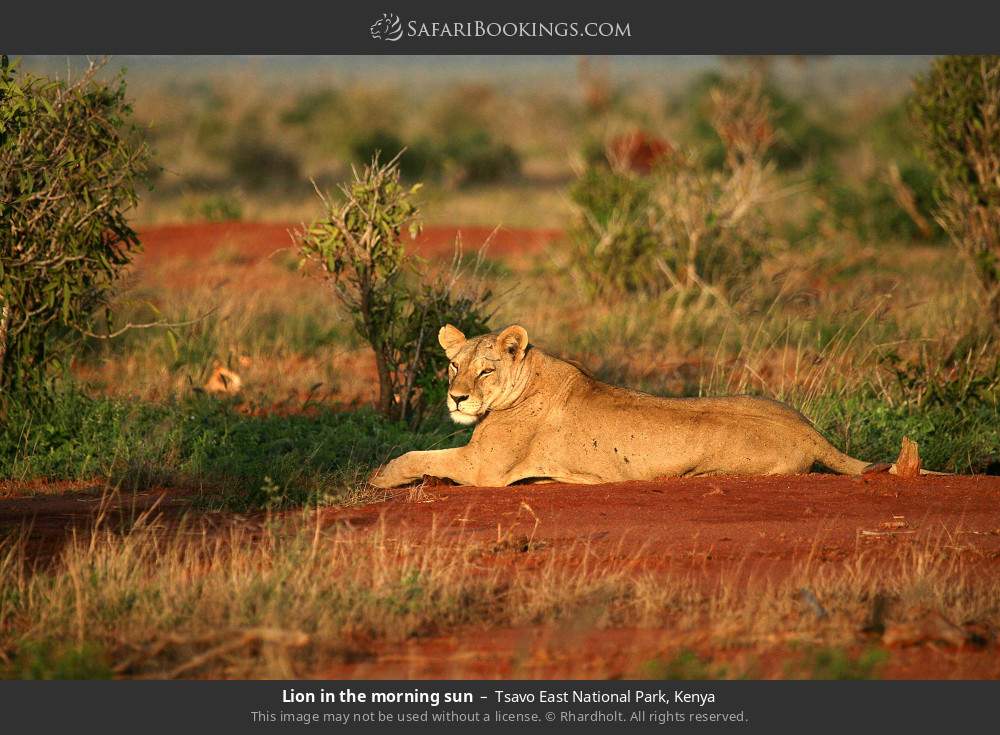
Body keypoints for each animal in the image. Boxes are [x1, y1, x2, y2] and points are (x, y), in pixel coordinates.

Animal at [370, 324, 934, 488]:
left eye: (485, 370)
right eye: (452, 366)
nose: (457, 396)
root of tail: (810, 430)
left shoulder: (484, 467)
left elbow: (413, 456)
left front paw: (378, 477)